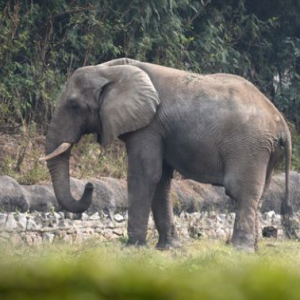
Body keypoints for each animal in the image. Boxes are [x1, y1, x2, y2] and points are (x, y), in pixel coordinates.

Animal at [41, 57, 292, 252]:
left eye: (74, 105)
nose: (90, 185)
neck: (111, 68)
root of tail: (282, 124)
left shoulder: (149, 127)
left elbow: (145, 175)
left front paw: (132, 247)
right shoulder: (159, 130)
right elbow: (160, 180)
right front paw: (168, 248)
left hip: (249, 147)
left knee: (240, 192)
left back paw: (240, 250)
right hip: (264, 151)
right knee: (259, 194)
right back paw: (252, 248)